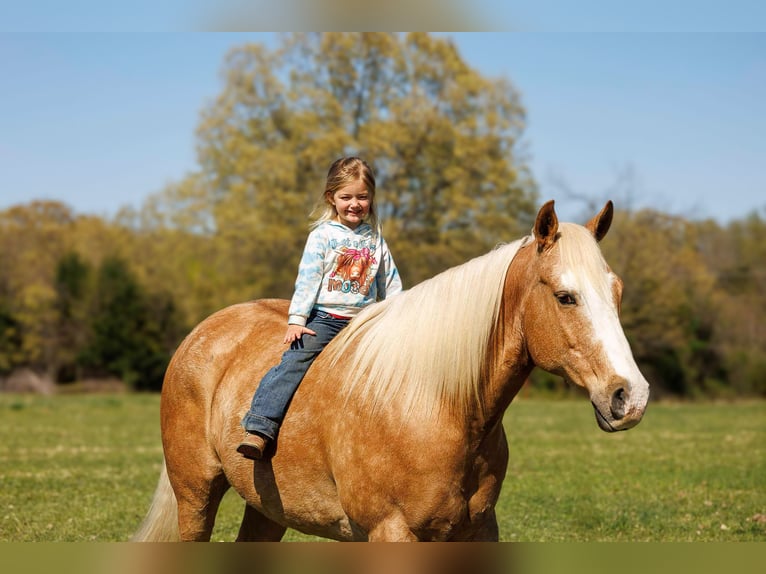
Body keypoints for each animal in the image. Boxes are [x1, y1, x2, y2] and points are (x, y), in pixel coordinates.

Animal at [132, 200, 650, 542]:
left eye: (618, 291)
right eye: (565, 296)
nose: (630, 396)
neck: (437, 405)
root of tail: (204, 332)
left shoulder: (477, 531)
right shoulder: (391, 533)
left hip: (266, 508)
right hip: (196, 495)